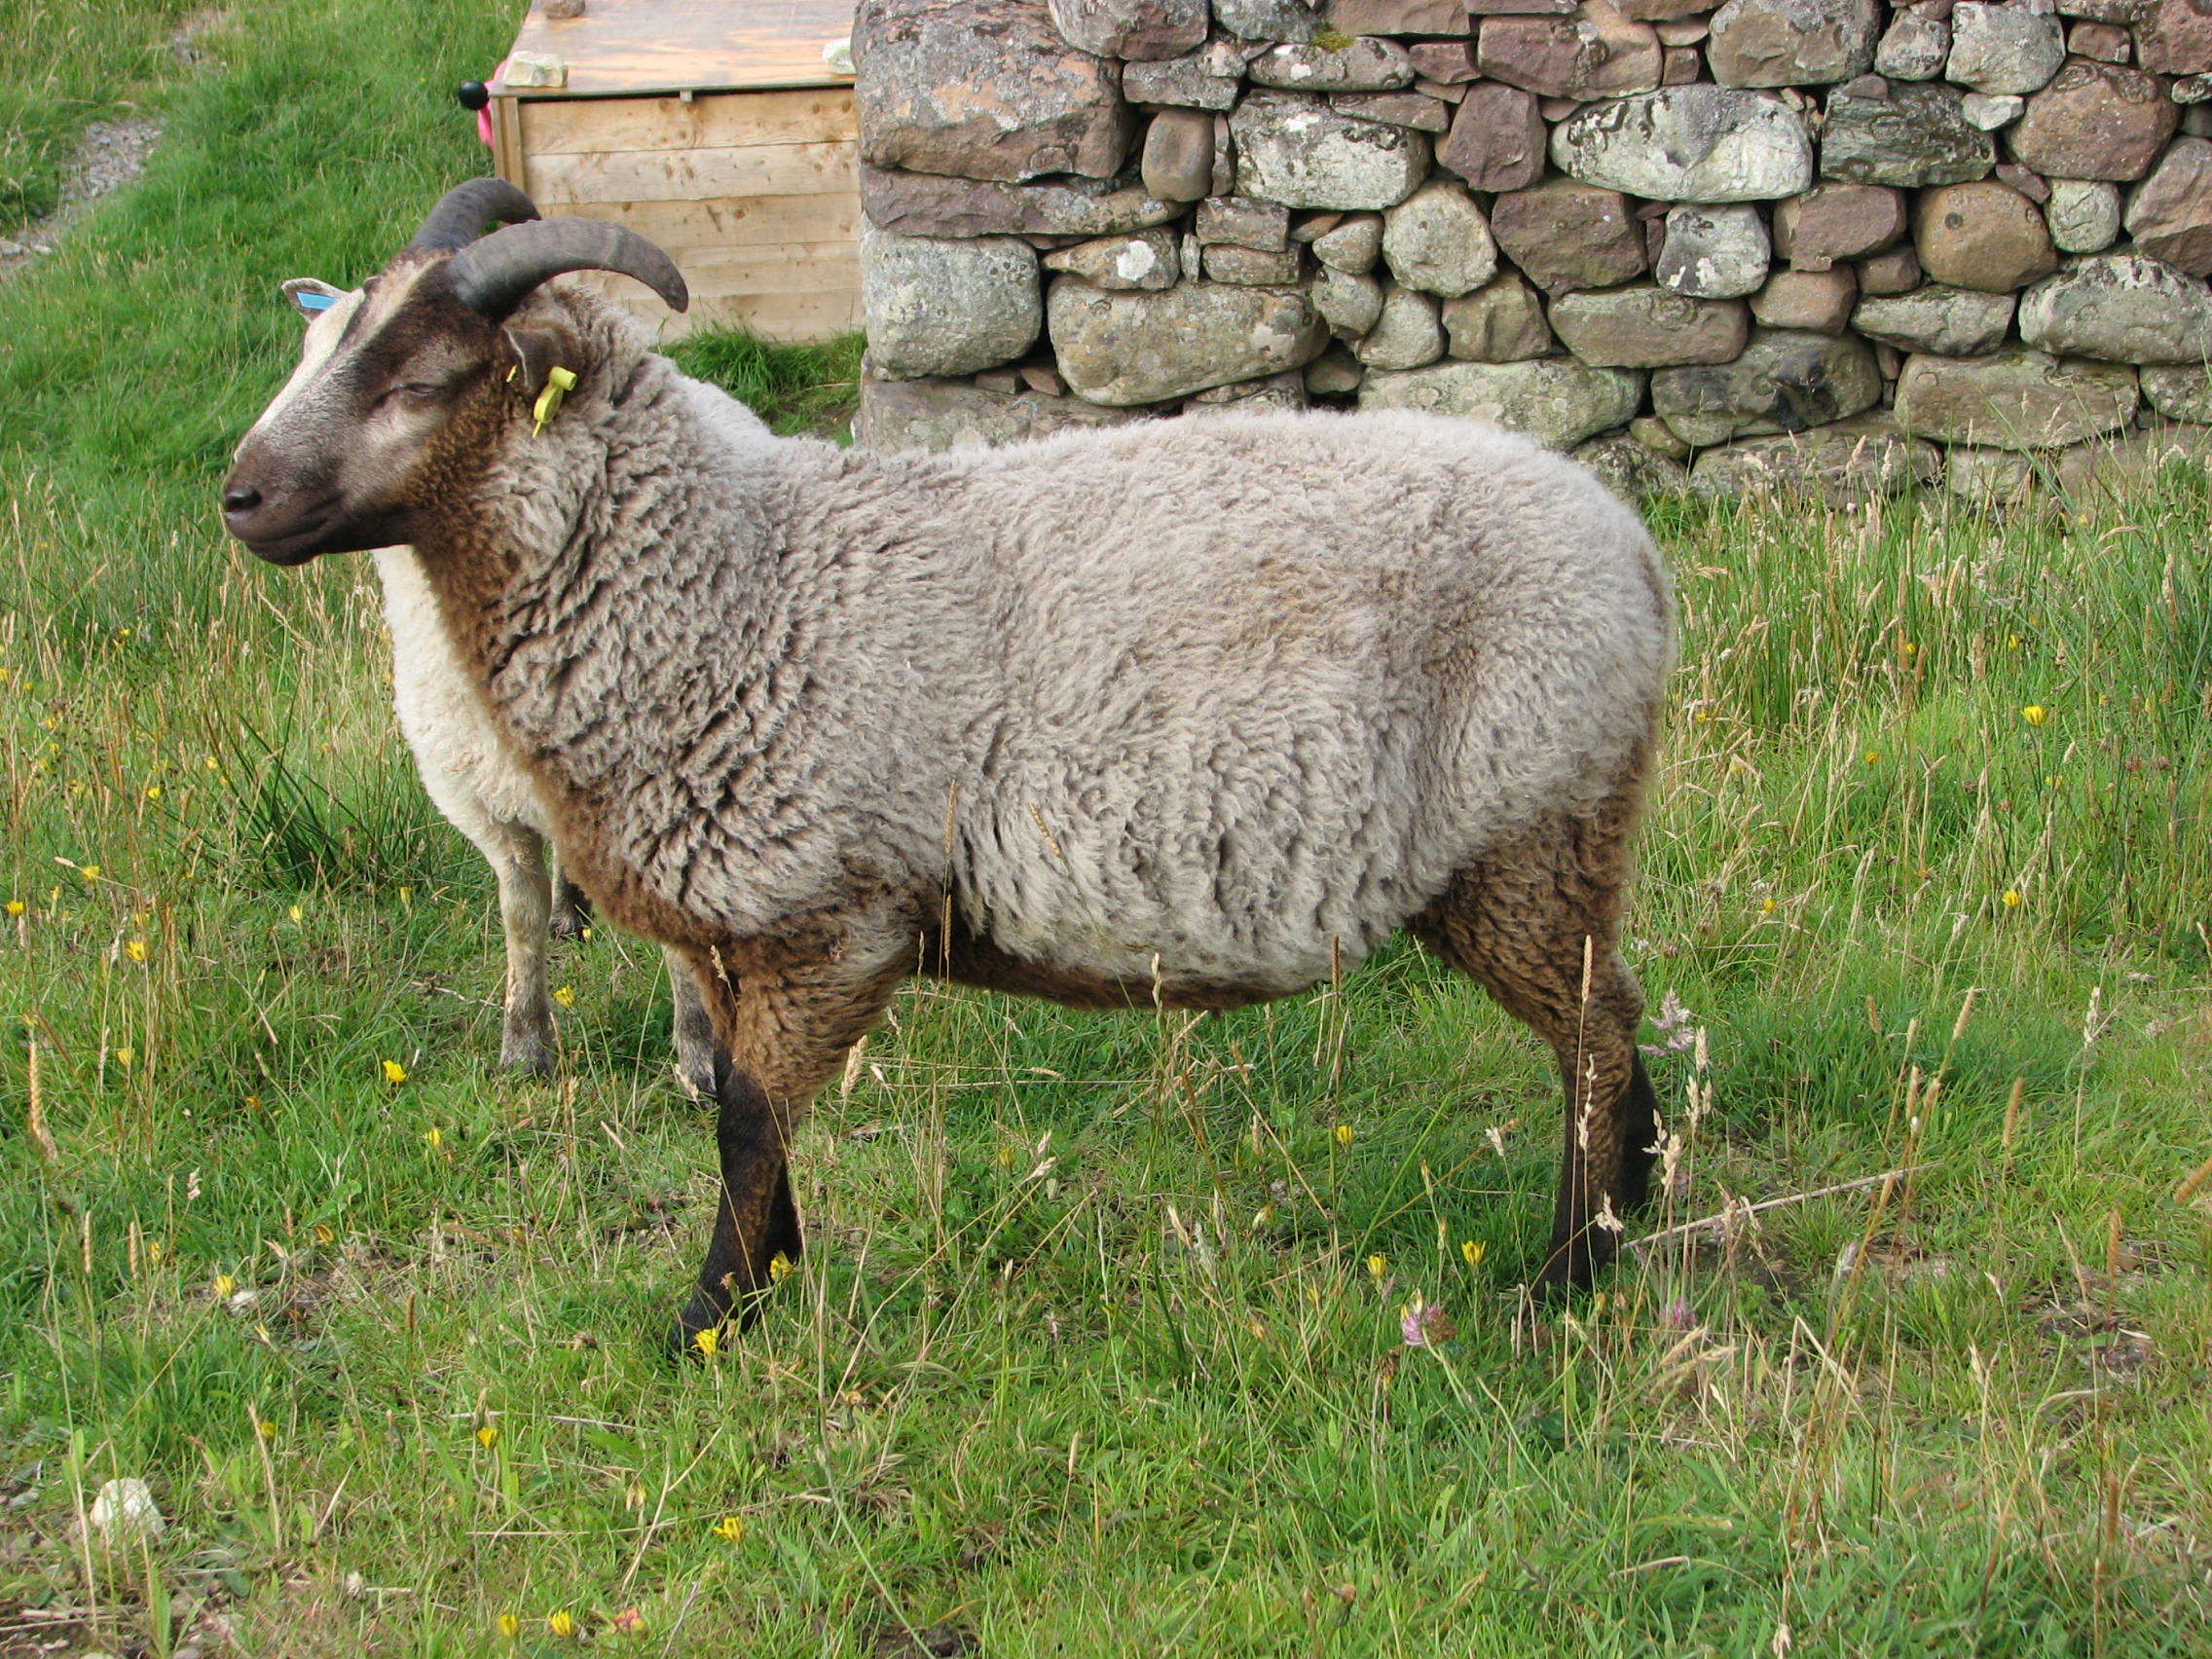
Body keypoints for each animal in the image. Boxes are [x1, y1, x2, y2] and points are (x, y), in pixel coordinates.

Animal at [262, 249, 718, 1092]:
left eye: (415, 384)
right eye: (306, 353)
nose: (245, 489)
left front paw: (698, 1057)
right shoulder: (478, 798)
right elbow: (519, 916)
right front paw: (525, 1047)